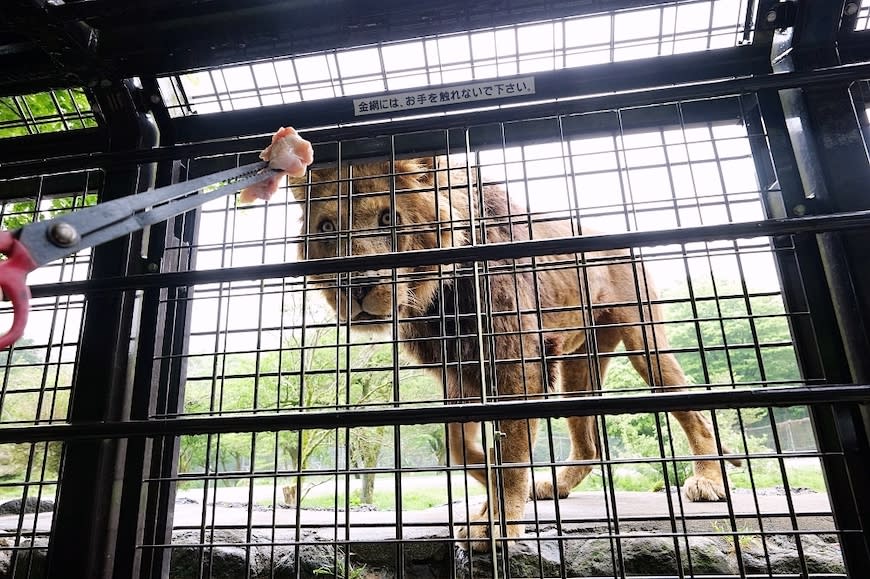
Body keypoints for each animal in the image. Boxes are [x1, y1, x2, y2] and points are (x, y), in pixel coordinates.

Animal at [290, 156, 740, 552]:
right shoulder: (460, 374)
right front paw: (489, 487)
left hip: (645, 344)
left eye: (389, 218)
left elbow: (511, 453)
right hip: (578, 366)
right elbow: (463, 449)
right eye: (327, 227)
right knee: (589, 446)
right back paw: (554, 485)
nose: (356, 285)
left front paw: (497, 522)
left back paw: (709, 481)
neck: (435, 300)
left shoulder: (517, 363)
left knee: (695, 415)